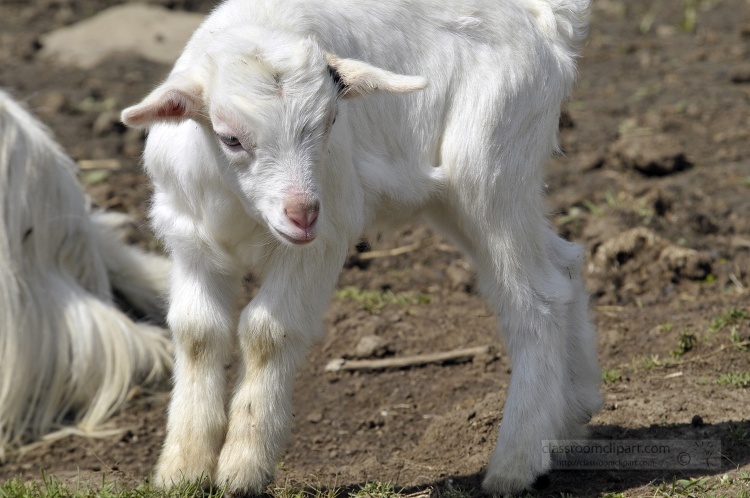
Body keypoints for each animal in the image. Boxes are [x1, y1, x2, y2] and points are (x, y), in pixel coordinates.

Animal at [123, 0, 604, 494]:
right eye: (230, 138)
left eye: (331, 123)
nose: (302, 213)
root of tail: (548, 21)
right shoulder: (189, 236)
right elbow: (197, 333)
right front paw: (182, 470)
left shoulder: (324, 236)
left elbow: (267, 332)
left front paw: (243, 467)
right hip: (461, 197)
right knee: (562, 266)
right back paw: (571, 416)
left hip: (494, 166)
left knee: (536, 299)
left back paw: (515, 463)